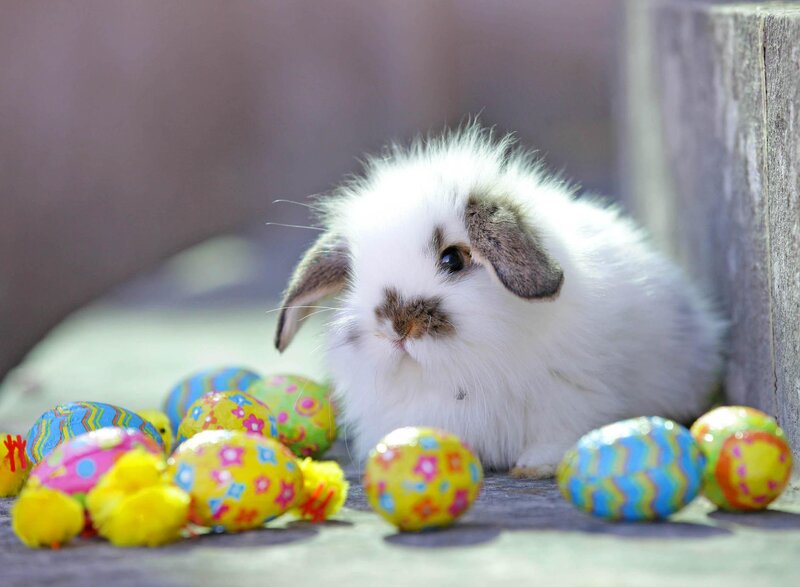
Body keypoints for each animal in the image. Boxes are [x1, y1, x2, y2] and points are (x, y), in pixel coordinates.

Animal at [274, 124, 724, 478]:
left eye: (453, 259)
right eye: (354, 276)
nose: (396, 326)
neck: (461, 370)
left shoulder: (572, 399)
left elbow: (557, 435)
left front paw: (535, 467)